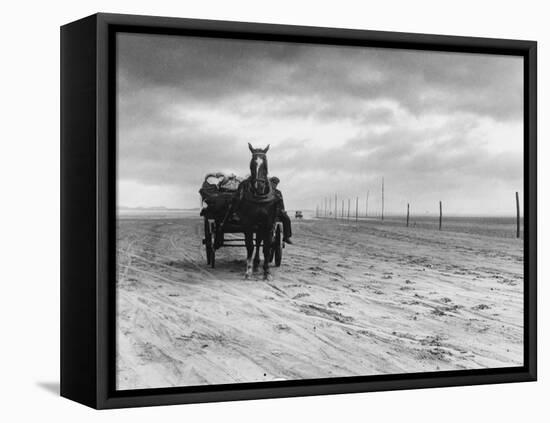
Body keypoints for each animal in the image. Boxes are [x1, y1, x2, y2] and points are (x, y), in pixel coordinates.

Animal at [223, 144, 278, 280]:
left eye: (265, 164)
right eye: (252, 164)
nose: (259, 186)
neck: (260, 197)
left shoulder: (268, 223)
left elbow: (266, 247)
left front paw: (267, 272)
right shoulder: (248, 223)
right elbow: (250, 245)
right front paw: (248, 270)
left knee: (259, 241)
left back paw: (258, 264)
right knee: (256, 243)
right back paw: (255, 264)